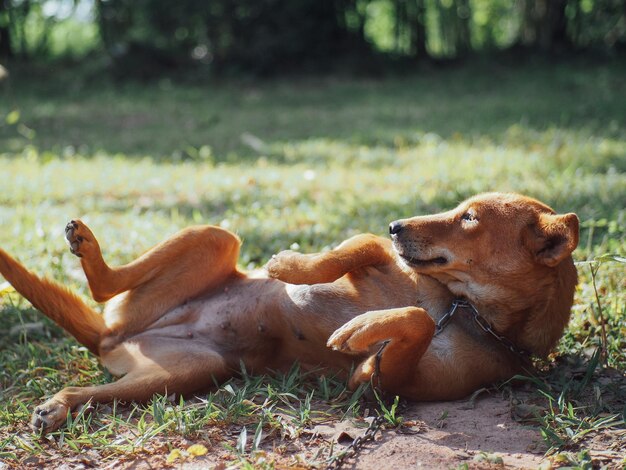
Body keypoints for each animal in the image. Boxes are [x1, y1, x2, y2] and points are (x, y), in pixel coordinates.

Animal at [0, 190, 576, 430]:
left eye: (470, 218)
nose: (395, 225)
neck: (464, 307)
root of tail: (112, 336)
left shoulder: (380, 382)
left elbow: (406, 325)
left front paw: (361, 328)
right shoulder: (378, 256)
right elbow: (346, 253)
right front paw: (289, 267)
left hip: (185, 372)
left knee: (94, 363)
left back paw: (59, 406)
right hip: (217, 237)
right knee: (104, 286)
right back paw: (87, 246)